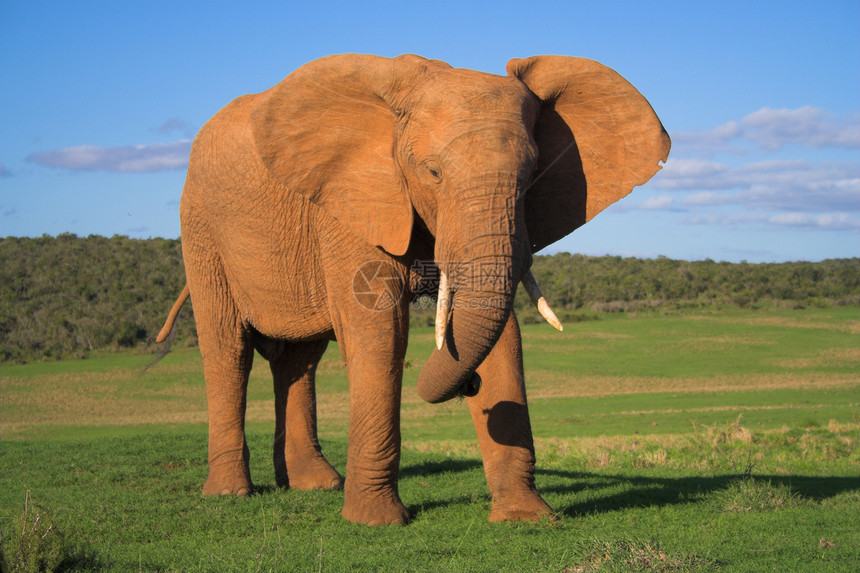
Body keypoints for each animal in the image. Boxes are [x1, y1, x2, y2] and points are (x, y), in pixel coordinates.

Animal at [158, 53, 672, 524]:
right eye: (432, 172)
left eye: (531, 177)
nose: (469, 384)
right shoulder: (353, 202)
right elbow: (381, 334)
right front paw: (375, 522)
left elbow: (502, 336)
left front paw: (526, 518)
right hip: (201, 227)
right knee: (228, 349)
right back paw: (230, 493)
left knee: (299, 360)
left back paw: (316, 485)